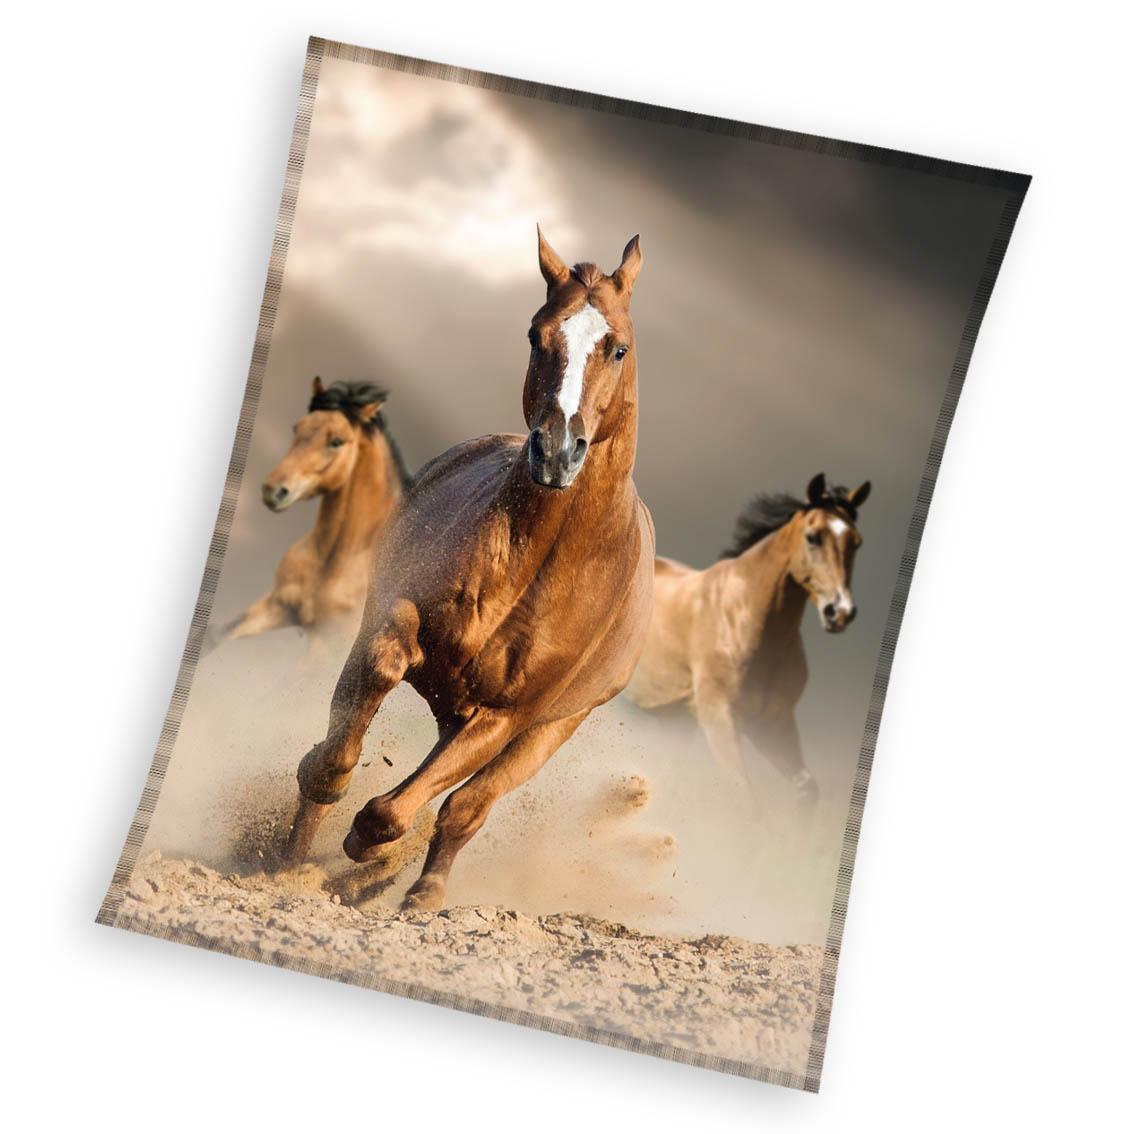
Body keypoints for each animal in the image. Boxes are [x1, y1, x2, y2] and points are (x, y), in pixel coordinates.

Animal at [203, 379, 411, 655]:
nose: (273, 490)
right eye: (297, 427)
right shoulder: (275, 605)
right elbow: (211, 636)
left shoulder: (325, 649)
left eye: (336, 441)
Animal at [282, 229, 656, 912]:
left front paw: (368, 854)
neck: (536, 563)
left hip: (545, 732)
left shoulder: (505, 717)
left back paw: (418, 891)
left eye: (617, 347)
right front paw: (306, 844)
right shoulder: (391, 620)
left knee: (466, 807)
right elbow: (349, 733)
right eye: (536, 334)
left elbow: (405, 811)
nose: (557, 452)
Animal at [626, 474, 870, 808]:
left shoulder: (773, 723)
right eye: (813, 537)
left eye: (856, 542)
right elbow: (746, 798)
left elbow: (806, 789)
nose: (840, 611)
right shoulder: (719, 720)